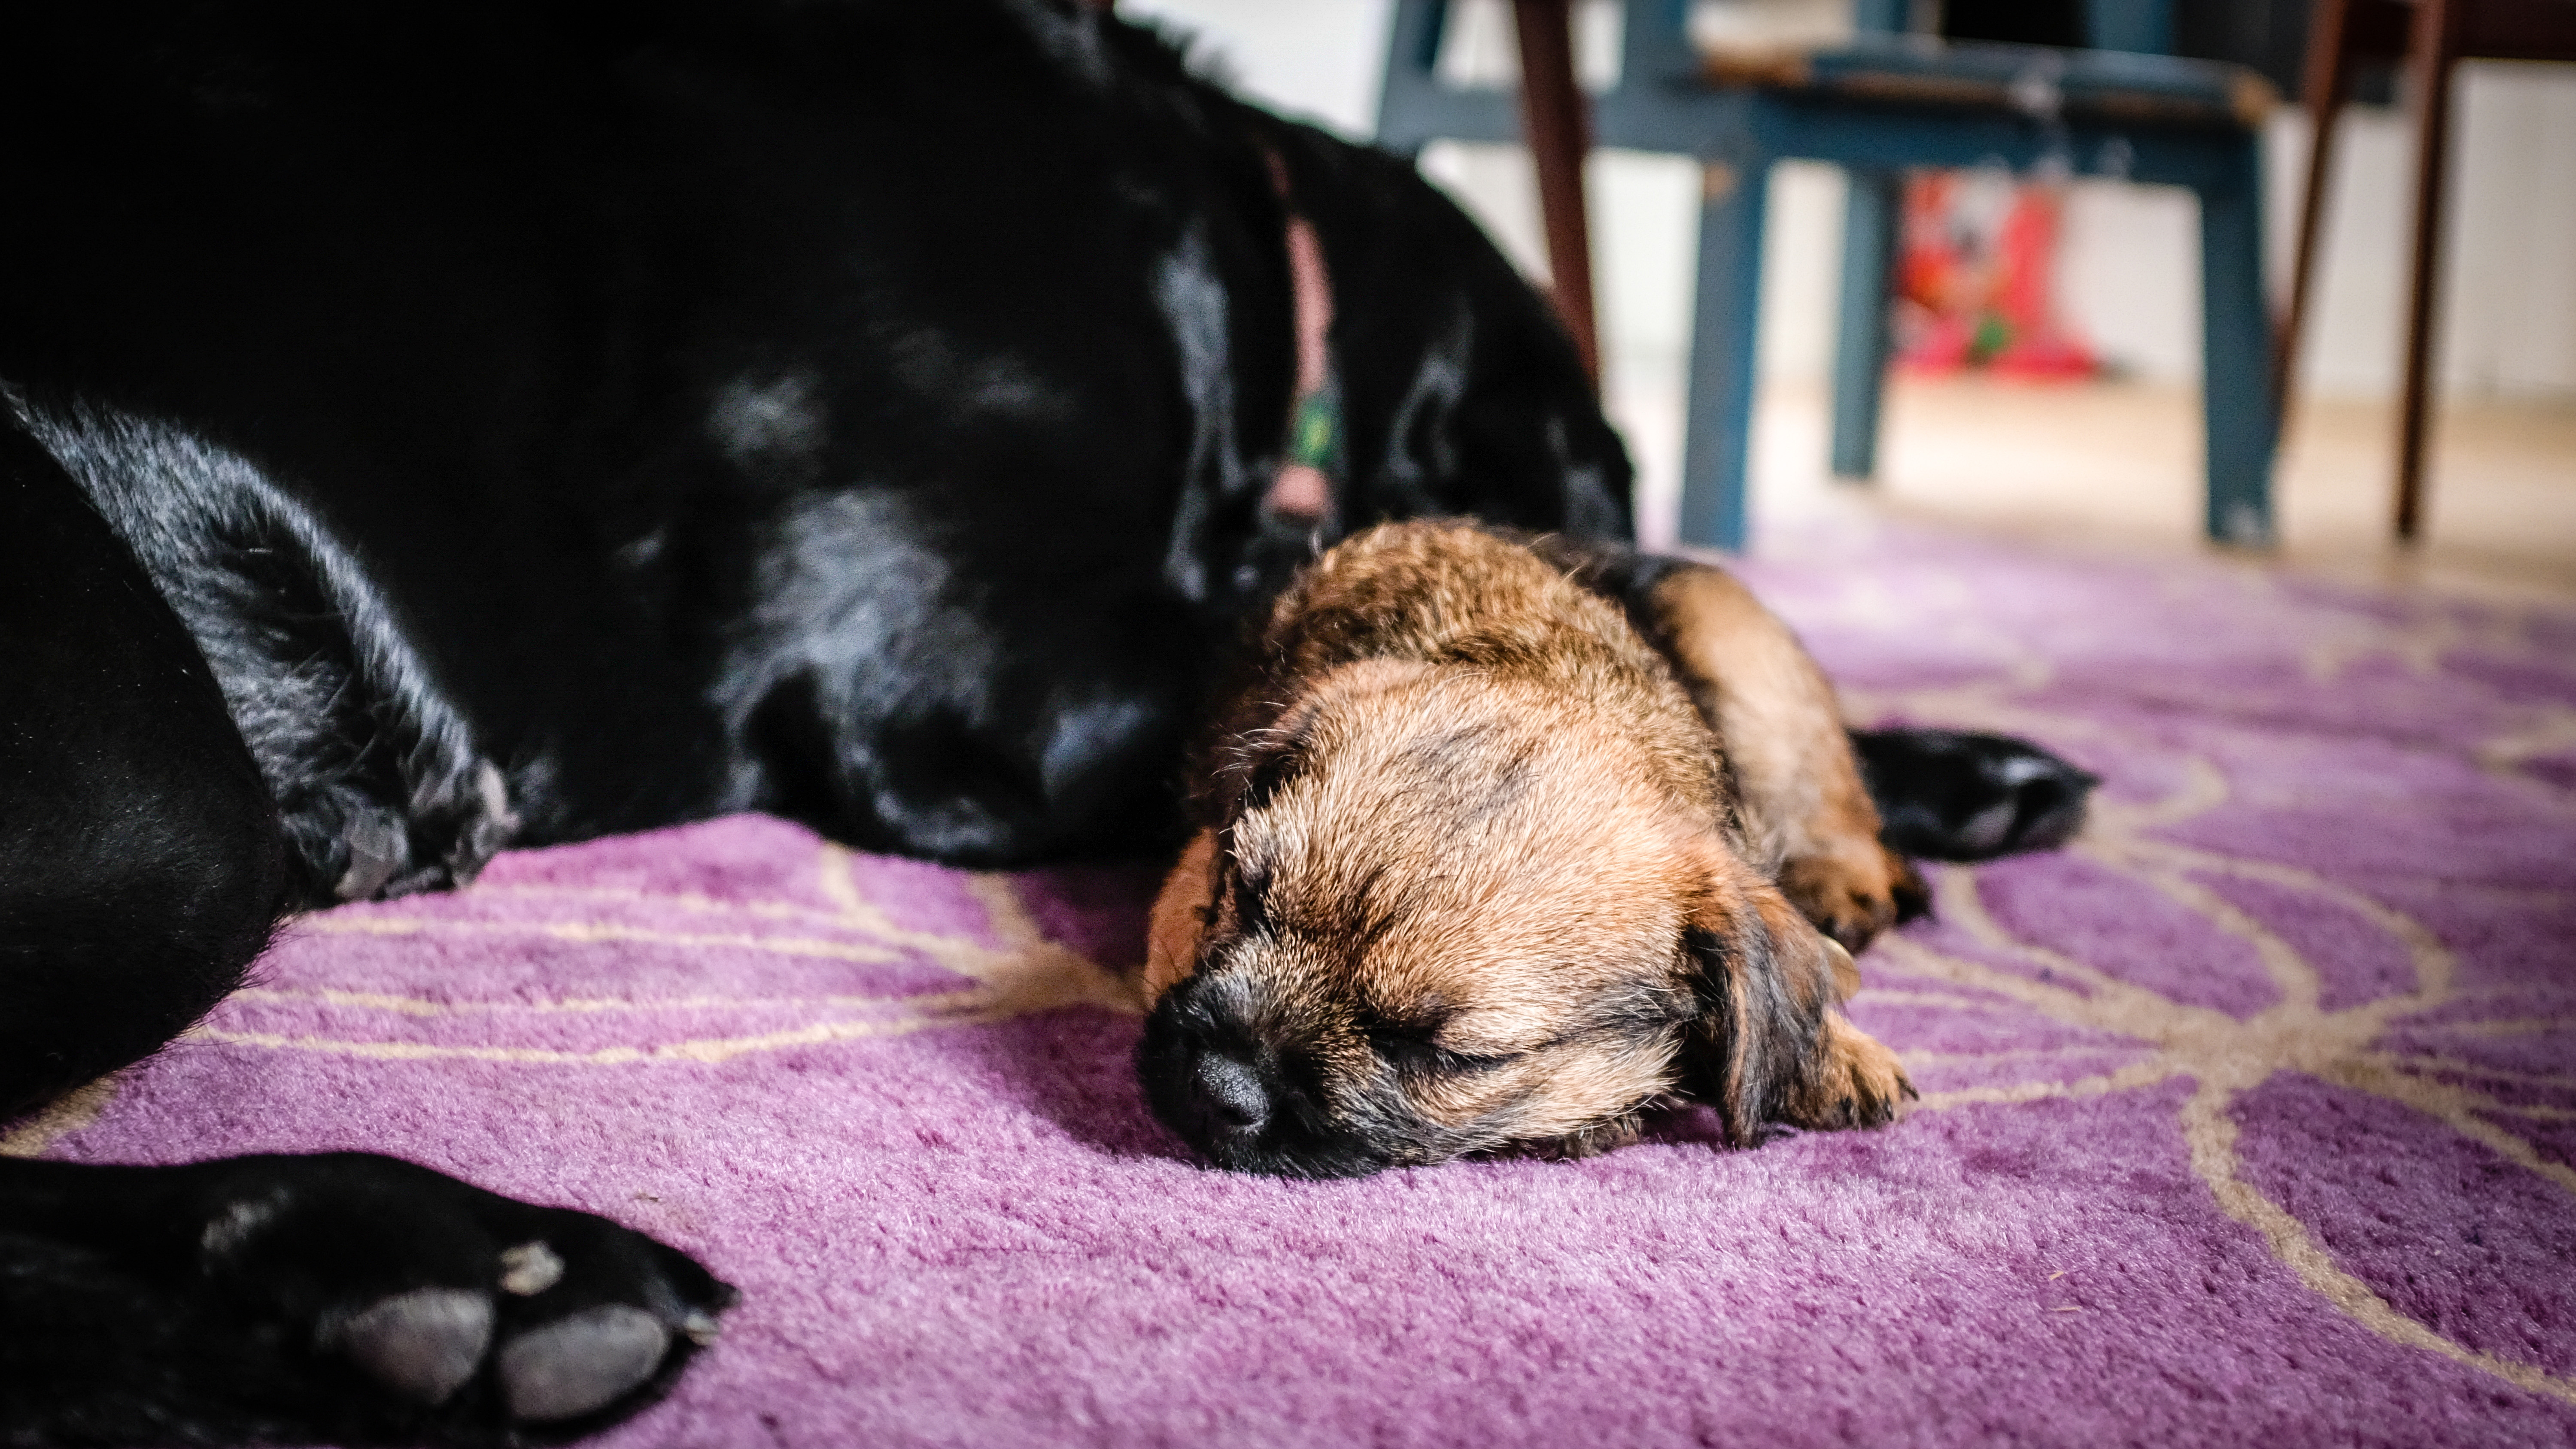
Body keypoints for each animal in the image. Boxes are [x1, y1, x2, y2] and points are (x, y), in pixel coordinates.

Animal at [1133, 522, 1917, 1179]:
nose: (1218, 1084)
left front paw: (1830, 1054)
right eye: (1243, 894)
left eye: (1453, 1056)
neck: (1539, 668)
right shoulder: (1188, 881)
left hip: (1740, 649)